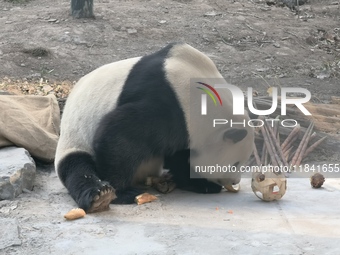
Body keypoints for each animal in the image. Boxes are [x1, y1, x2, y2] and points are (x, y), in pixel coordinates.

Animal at [54, 42, 254, 213]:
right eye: (235, 163)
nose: (234, 181)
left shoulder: (185, 131)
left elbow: (180, 156)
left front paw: (201, 184)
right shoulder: (169, 105)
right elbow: (118, 135)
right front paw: (123, 192)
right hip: (75, 135)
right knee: (77, 168)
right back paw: (99, 195)